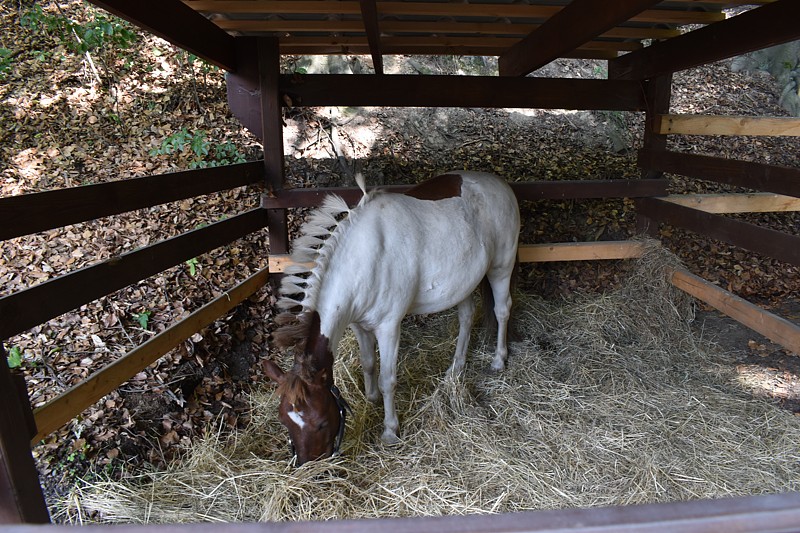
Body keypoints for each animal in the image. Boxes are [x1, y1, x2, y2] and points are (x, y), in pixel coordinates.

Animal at [266, 170, 520, 462]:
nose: (309, 465)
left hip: (501, 268)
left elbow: (388, 379)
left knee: (502, 310)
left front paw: (390, 430)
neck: (365, 259)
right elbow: (368, 363)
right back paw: (456, 367)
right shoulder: (359, 325)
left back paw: (498, 360)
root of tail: (499, 183)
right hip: (463, 284)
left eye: (320, 423)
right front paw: (371, 397)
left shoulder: (388, 328)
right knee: (466, 318)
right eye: (284, 420)